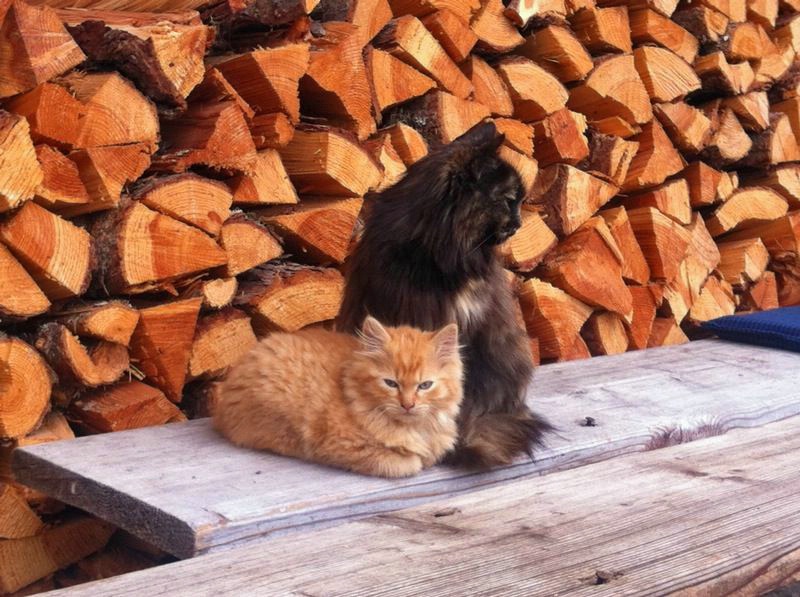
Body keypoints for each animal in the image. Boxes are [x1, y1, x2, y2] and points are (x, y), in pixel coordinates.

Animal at [213, 316, 463, 478]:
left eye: (425, 385)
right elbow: (407, 464)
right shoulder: (339, 445)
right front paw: (413, 460)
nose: (408, 404)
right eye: (391, 383)